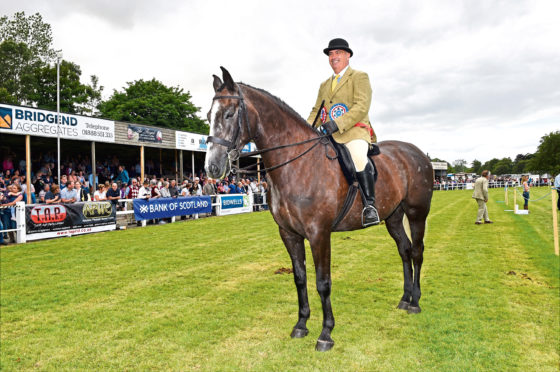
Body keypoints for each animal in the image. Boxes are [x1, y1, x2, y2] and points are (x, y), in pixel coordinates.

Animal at [205, 67, 434, 352]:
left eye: (228, 114)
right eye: (208, 115)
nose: (212, 168)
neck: (297, 165)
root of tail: (418, 153)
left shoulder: (319, 234)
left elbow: (323, 282)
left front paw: (326, 333)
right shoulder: (289, 234)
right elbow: (300, 278)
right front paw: (301, 324)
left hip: (416, 213)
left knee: (416, 252)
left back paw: (415, 302)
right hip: (393, 216)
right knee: (404, 250)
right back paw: (404, 299)